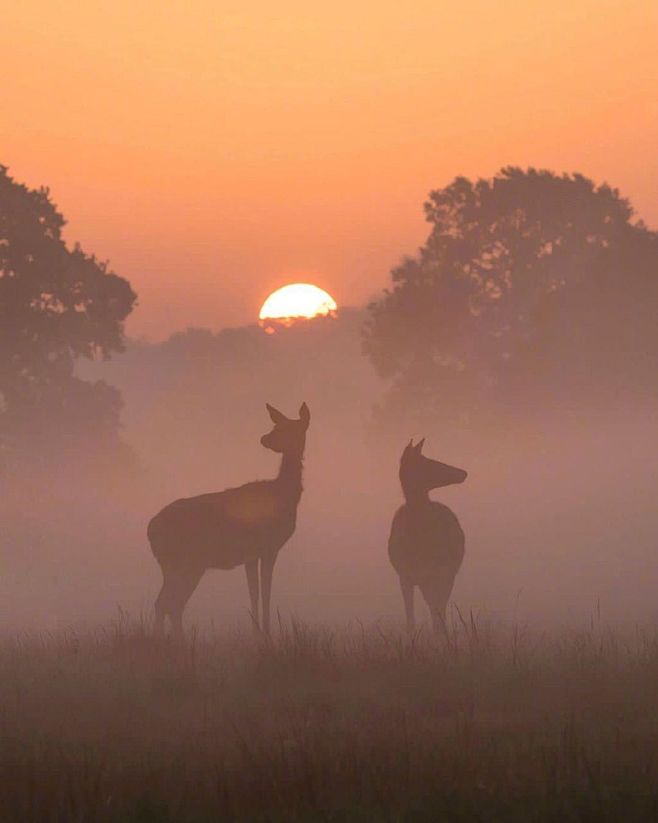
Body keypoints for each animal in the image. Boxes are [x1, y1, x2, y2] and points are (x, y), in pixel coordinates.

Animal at [386, 440, 464, 636]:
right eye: (428, 462)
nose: (463, 473)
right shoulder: (404, 575)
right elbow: (410, 619)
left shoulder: (441, 572)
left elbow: (437, 611)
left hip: (448, 573)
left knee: (438, 608)